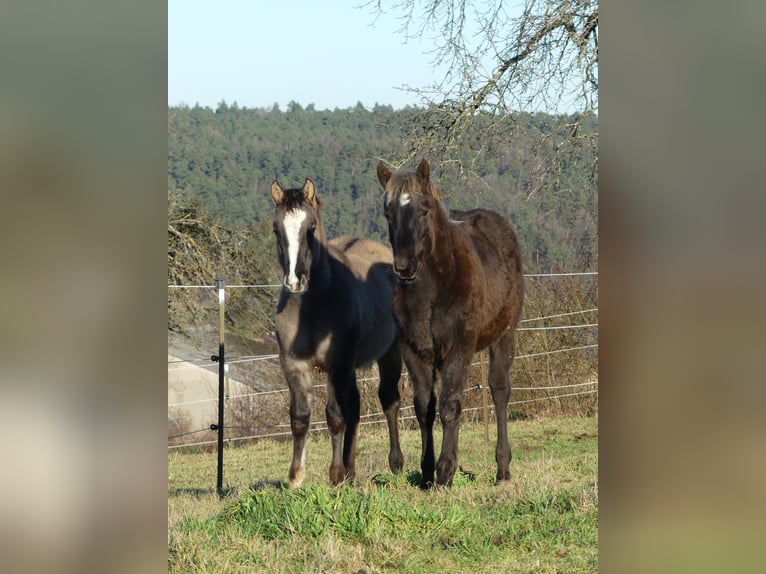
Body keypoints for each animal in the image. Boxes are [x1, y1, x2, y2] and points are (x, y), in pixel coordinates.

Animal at [270, 178, 404, 488]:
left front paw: (334, 475)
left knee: (389, 401)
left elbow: (334, 416)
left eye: (311, 228)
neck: (312, 308)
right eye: (276, 228)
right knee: (354, 408)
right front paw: (296, 477)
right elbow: (300, 418)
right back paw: (351, 471)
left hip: (390, 355)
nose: (294, 282)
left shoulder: (337, 364)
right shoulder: (293, 365)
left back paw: (395, 463)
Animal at [376, 159, 524, 490]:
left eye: (424, 209)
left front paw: (445, 472)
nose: (403, 267)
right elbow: (425, 408)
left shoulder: (459, 346)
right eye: (388, 213)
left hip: (504, 335)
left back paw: (503, 469)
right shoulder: (415, 351)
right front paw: (427, 472)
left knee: (499, 390)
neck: (435, 289)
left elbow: (450, 405)